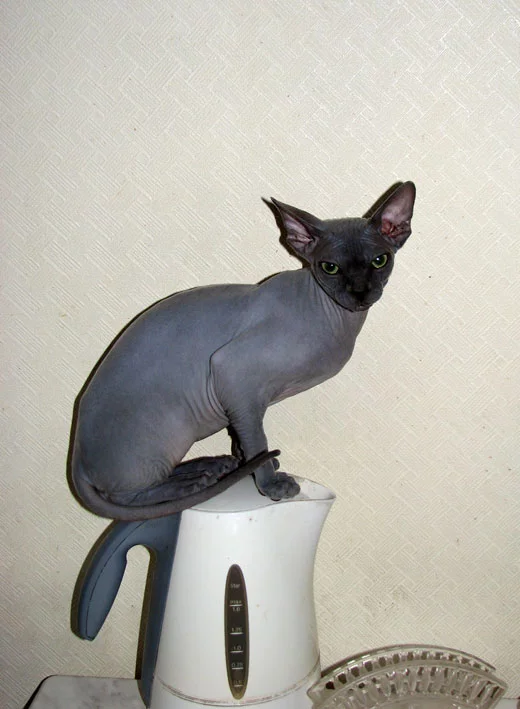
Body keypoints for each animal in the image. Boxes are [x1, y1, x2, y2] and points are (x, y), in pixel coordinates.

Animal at [70, 181, 415, 520]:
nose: (360, 293)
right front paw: (270, 481)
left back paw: (208, 467)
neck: (335, 318)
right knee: (129, 496)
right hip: (169, 430)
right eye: (330, 267)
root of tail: (77, 460)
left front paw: (245, 462)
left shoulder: (239, 399)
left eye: (380, 260)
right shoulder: (233, 374)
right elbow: (257, 438)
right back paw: (191, 484)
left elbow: (244, 436)